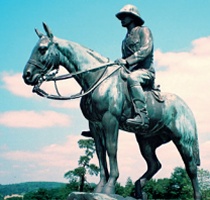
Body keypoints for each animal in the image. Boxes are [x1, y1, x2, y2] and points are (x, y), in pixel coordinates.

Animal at [22, 23, 201, 198]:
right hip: (146, 141)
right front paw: (100, 186)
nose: (27, 75)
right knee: (154, 165)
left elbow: (111, 148)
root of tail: (187, 108)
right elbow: (100, 152)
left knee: (191, 169)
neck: (97, 79)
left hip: (183, 141)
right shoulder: (95, 125)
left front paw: (109, 186)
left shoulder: (110, 120)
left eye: (42, 49)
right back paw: (138, 187)